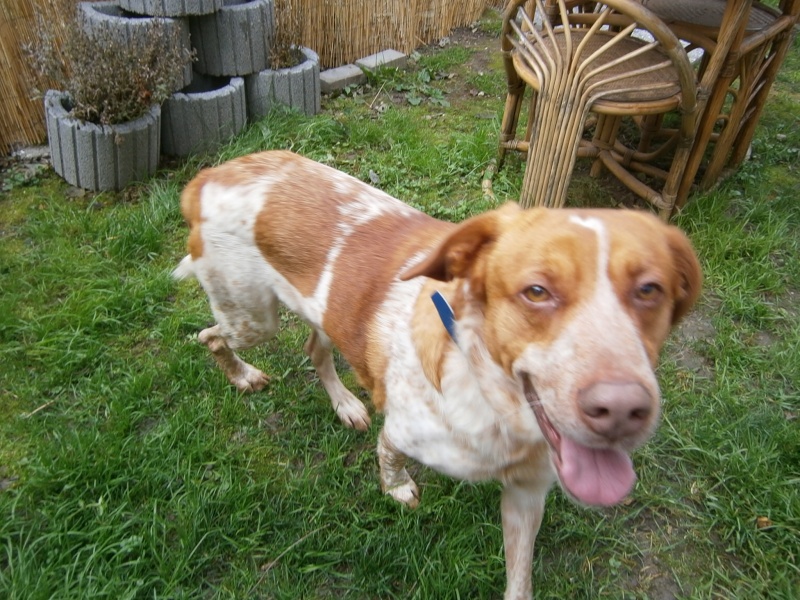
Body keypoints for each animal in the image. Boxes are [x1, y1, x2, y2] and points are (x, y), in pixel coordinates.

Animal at [175, 149, 700, 596]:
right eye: (536, 291)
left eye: (650, 290)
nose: (620, 409)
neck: (498, 408)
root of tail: (211, 174)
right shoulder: (403, 431)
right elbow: (389, 457)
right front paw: (397, 487)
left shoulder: (527, 495)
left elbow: (520, 579)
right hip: (251, 320)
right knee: (210, 337)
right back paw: (243, 376)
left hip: (320, 314)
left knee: (314, 350)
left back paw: (345, 404)